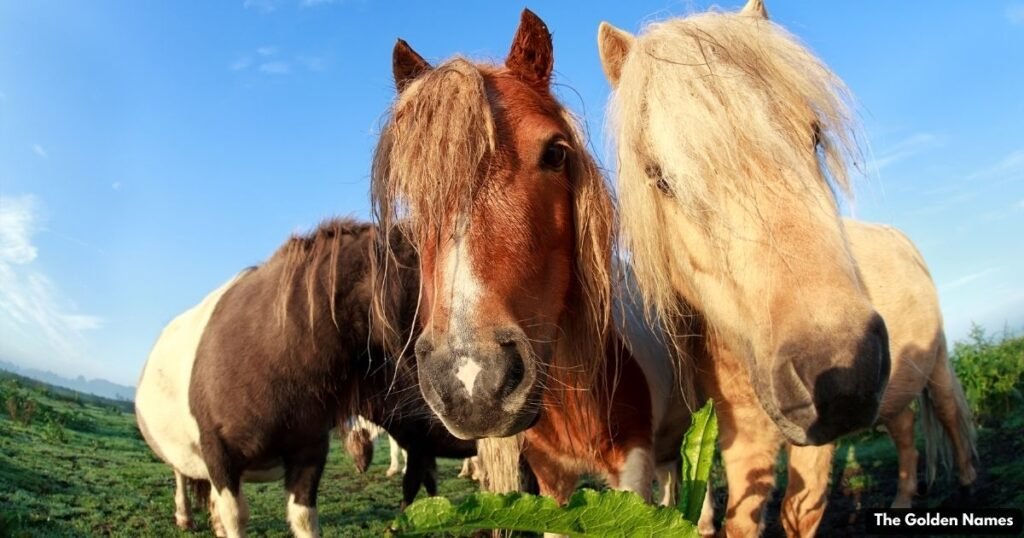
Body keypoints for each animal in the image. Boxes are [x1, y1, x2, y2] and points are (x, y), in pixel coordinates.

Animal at [135, 219, 472, 538]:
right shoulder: (221, 456)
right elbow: (235, 516)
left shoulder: (309, 453)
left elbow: (303, 519)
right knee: (180, 474)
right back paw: (184, 516)